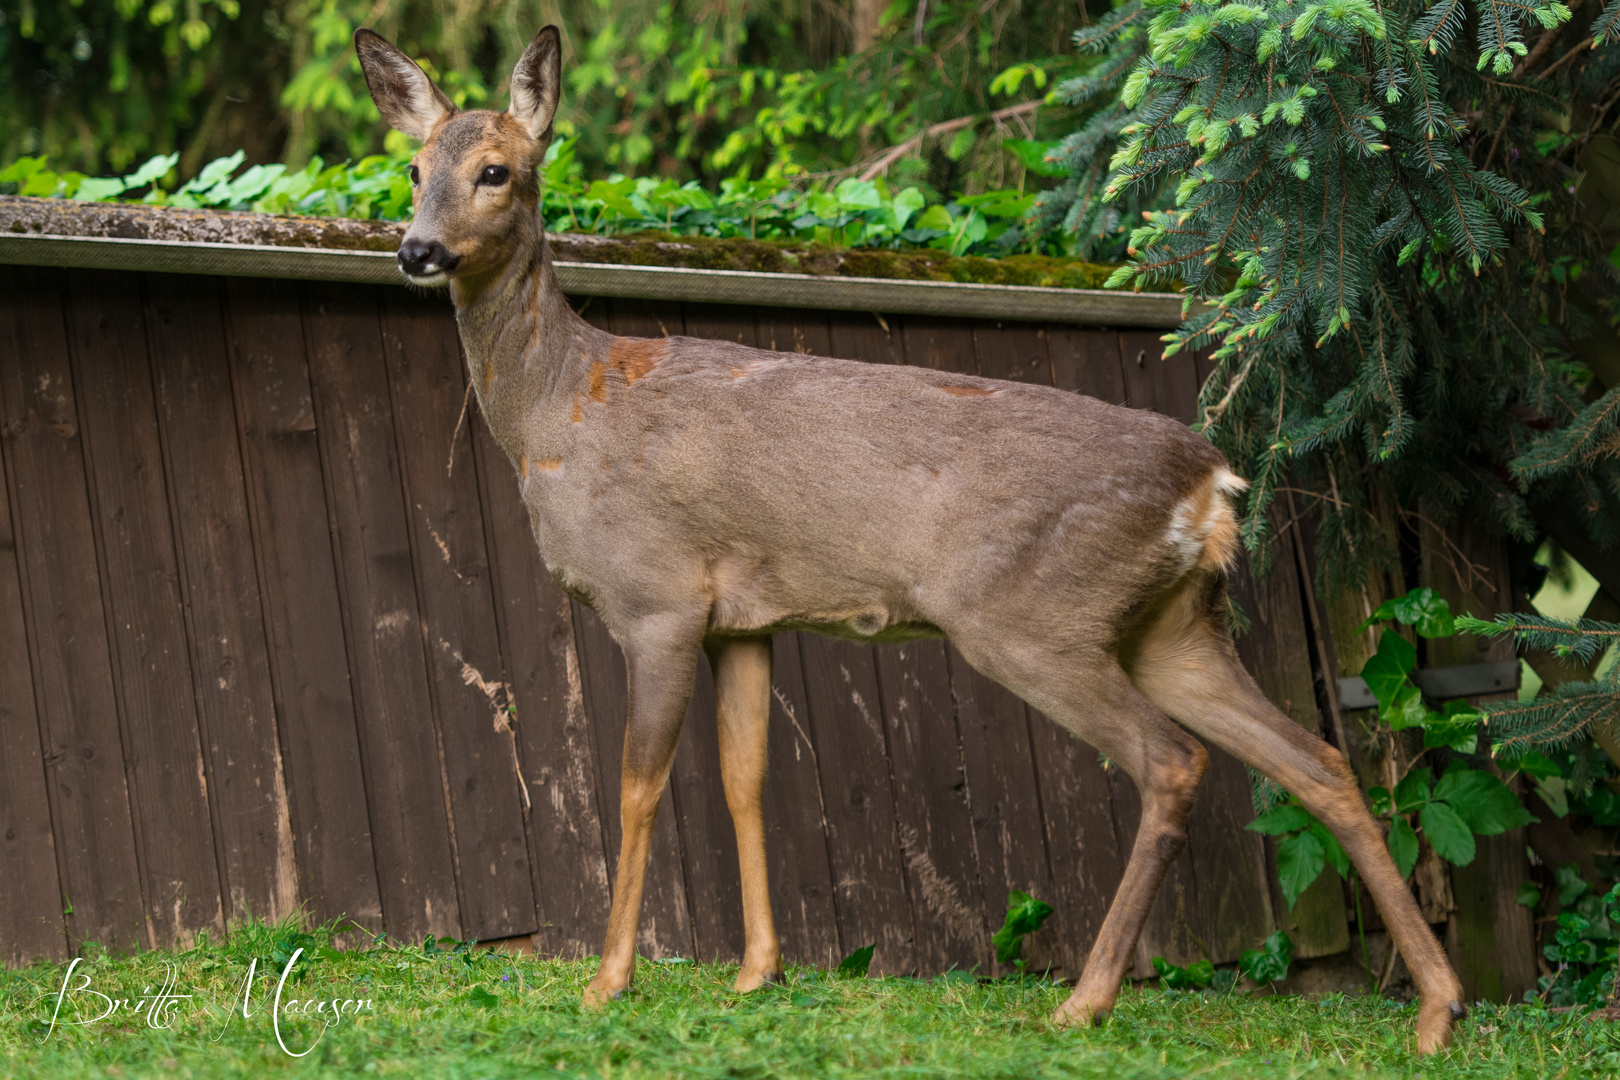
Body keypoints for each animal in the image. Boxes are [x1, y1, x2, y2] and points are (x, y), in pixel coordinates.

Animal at [361, 25, 1477, 1049]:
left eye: (497, 170)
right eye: (411, 170)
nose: (417, 250)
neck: (562, 414)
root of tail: (1210, 486)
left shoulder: (659, 598)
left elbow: (639, 788)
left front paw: (607, 982)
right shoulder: (745, 619)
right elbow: (744, 779)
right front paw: (758, 973)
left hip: (1030, 613)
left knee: (1172, 763)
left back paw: (1087, 999)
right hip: (1173, 625)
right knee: (1318, 761)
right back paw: (1437, 1008)